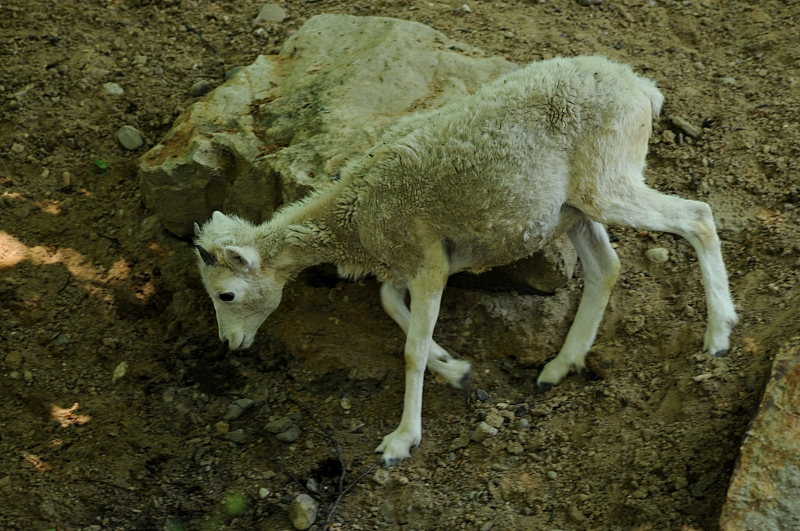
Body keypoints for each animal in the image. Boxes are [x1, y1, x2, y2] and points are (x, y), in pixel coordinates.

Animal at [193, 55, 738, 465]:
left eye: (227, 294)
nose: (229, 343)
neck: (355, 215)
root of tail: (643, 90)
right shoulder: (416, 267)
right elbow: (392, 307)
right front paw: (457, 370)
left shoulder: (429, 265)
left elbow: (410, 349)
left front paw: (400, 441)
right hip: (576, 211)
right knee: (608, 268)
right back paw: (559, 366)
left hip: (608, 184)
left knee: (698, 216)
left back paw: (718, 336)